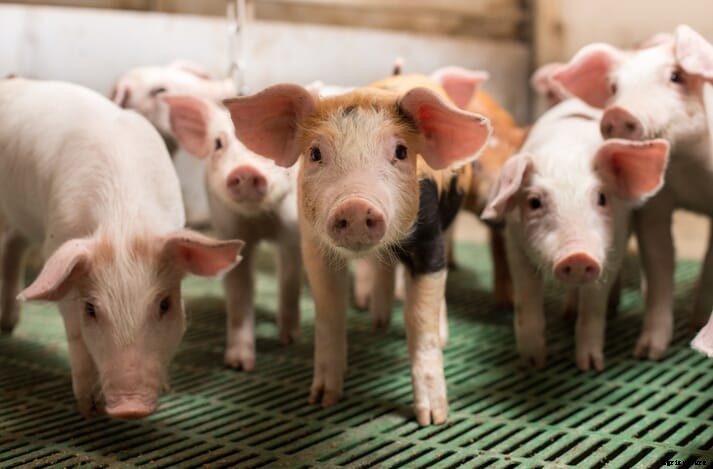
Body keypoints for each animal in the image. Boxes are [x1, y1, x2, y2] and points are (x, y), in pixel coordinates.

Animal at [0, 78, 243, 418]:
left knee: (13, 245)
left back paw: (8, 326)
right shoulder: (57, 247)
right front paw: (87, 408)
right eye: (91, 309)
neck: (124, 224)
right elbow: (75, 334)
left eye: (165, 305)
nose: (131, 407)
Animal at [162, 95, 300, 370]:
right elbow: (239, 294)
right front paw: (239, 365)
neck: (259, 221)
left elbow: (290, 281)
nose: (245, 170)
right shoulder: (229, 228)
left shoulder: (292, 231)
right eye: (218, 143)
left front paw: (289, 341)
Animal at [223, 76, 491, 425]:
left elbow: (421, 321)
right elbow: (330, 313)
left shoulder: (429, 240)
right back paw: (378, 322)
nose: (355, 205)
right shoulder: (315, 248)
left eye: (401, 151)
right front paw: (322, 400)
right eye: (315, 153)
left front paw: (432, 418)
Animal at [482, 99, 669, 371]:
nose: (578, 256)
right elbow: (526, 300)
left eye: (601, 198)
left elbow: (593, 308)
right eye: (535, 202)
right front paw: (533, 363)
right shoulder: (515, 245)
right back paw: (567, 313)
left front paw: (590, 366)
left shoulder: (613, 250)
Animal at [552, 25, 713, 359]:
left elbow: (710, 263)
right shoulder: (653, 206)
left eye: (676, 76)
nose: (616, 113)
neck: (687, 168)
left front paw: (696, 325)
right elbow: (660, 262)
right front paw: (647, 353)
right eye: (615, 86)